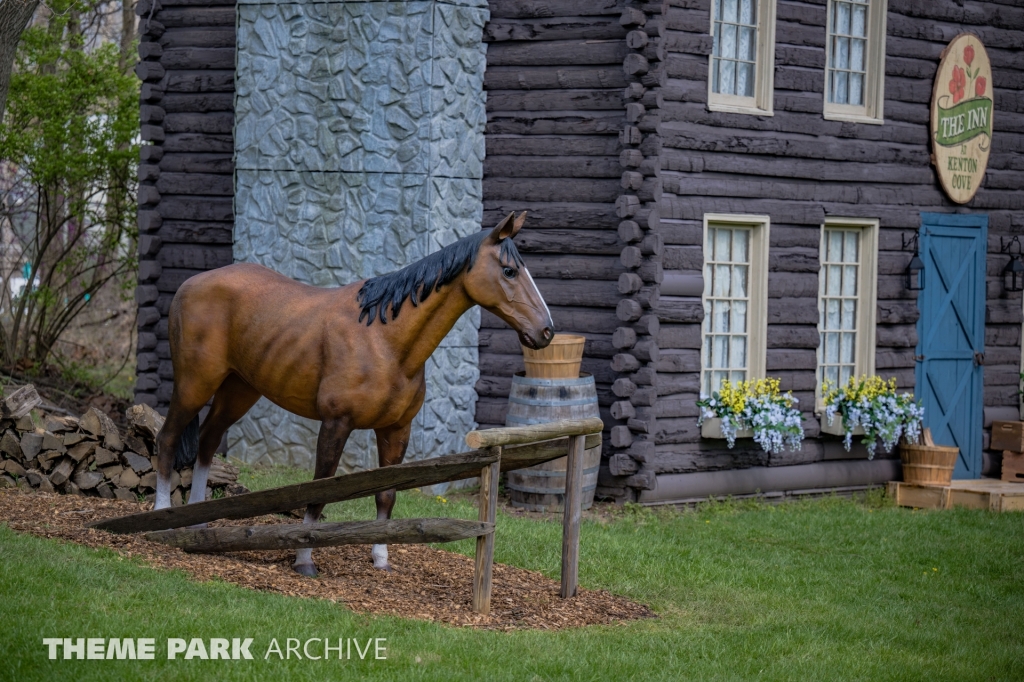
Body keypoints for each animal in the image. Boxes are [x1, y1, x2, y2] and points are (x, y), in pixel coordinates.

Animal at [151, 212, 552, 573]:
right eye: (509, 271)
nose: (546, 331)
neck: (385, 340)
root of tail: (190, 283)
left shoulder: (396, 430)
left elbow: (386, 493)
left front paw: (381, 560)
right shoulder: (336, 423)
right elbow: (319, 491)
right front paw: (304, 559)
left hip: (239, 388)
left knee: (207, 440)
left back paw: (198, 523)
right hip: (195, 383)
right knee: (168, 438)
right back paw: (159, 519)